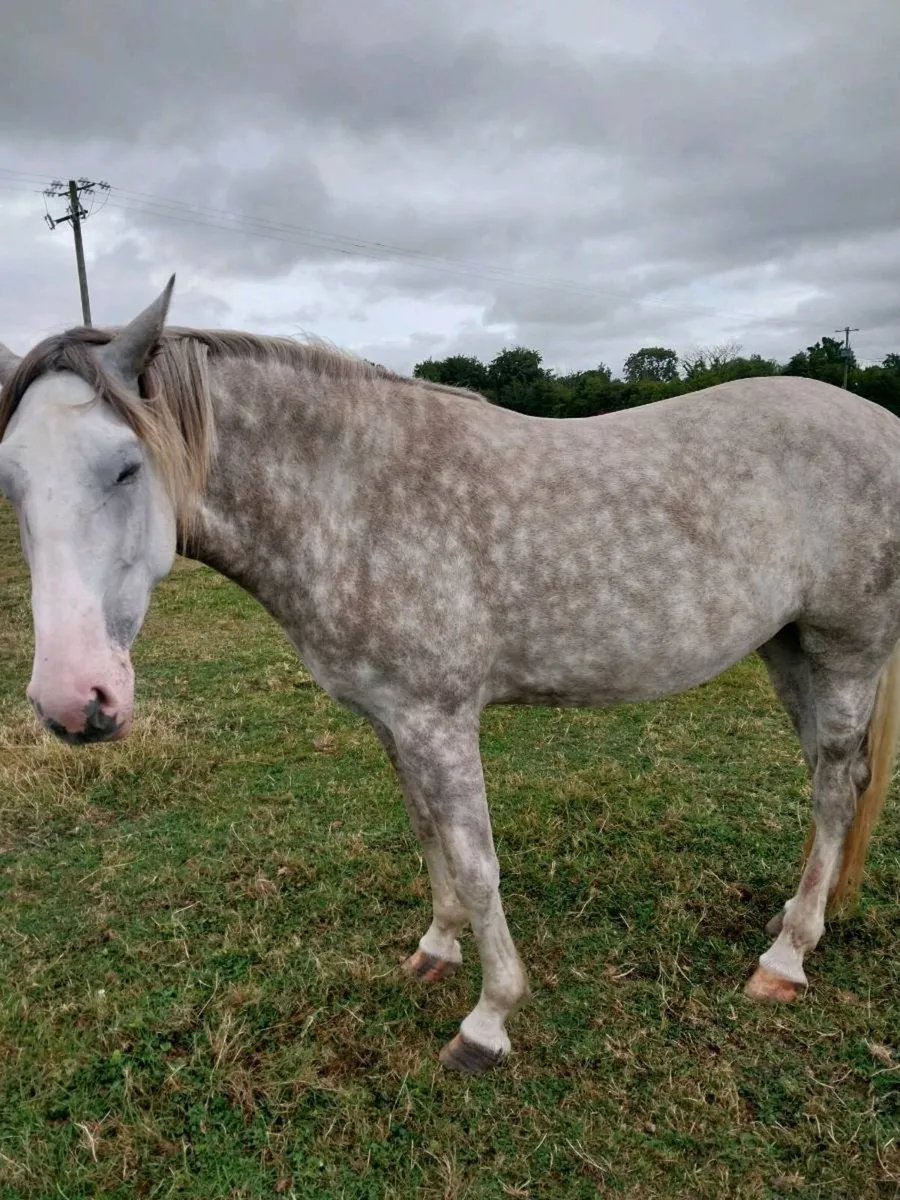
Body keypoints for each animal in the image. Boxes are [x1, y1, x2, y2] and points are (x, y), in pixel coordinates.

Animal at [1, 277, 898, 1074]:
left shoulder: (440, 719)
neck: (354, 497)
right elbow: (429, 835)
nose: (73, 701)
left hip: (846, 650)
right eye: (9, 480)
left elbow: (476, 861)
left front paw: (489, 1021)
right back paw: (799, 918)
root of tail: (881, 422)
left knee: (832, 784)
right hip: (788, 648)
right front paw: (436, 947)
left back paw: (784, 960)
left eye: (126, 467)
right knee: (832, 776)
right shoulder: (395, 719)